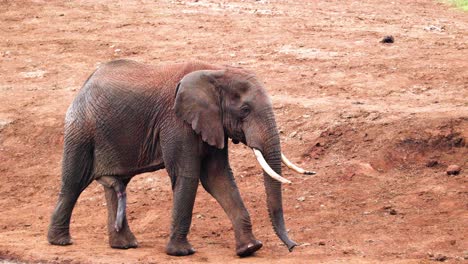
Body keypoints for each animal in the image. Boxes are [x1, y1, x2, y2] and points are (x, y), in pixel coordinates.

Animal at [47, 58, 314, 256]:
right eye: (245, 110)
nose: (293, 247)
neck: (215, 71)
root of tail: (84, 84)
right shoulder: (177, 122)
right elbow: (188, 175)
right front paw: (181, 252)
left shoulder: (211, 123)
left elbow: (217, 178)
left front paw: (249, 249)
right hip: (81, 128)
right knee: (73, 182)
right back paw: (60, 241)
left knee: (117, 185)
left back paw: (125, 245)